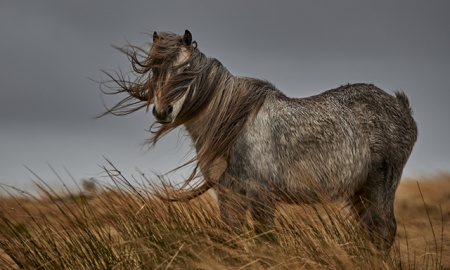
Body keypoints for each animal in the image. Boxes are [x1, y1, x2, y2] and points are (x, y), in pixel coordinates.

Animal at [100, 29, 416, 251]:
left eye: (186, 71)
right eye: (155, 69)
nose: (162, 111)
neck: (233, 124)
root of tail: (402, 107)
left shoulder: (260, 193)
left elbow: (267, 241)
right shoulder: (228, 194)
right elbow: (233, 236)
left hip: (378, 188)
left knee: (384, 232)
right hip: (359, 192)